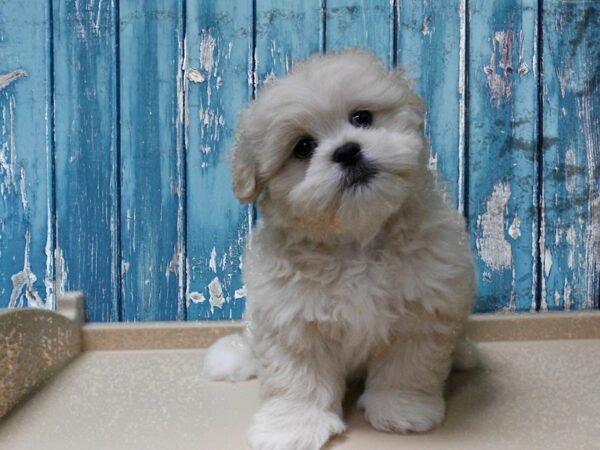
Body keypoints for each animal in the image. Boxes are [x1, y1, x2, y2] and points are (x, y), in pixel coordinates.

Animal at [204, 49, 476, 450]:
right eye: (303, 148)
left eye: (361, 118)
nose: (347, 151)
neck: (355, 239)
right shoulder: (292, 319)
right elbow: (295, 378)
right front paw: (292, 426)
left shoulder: (423, 309)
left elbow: (408, 367)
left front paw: (402, 409)